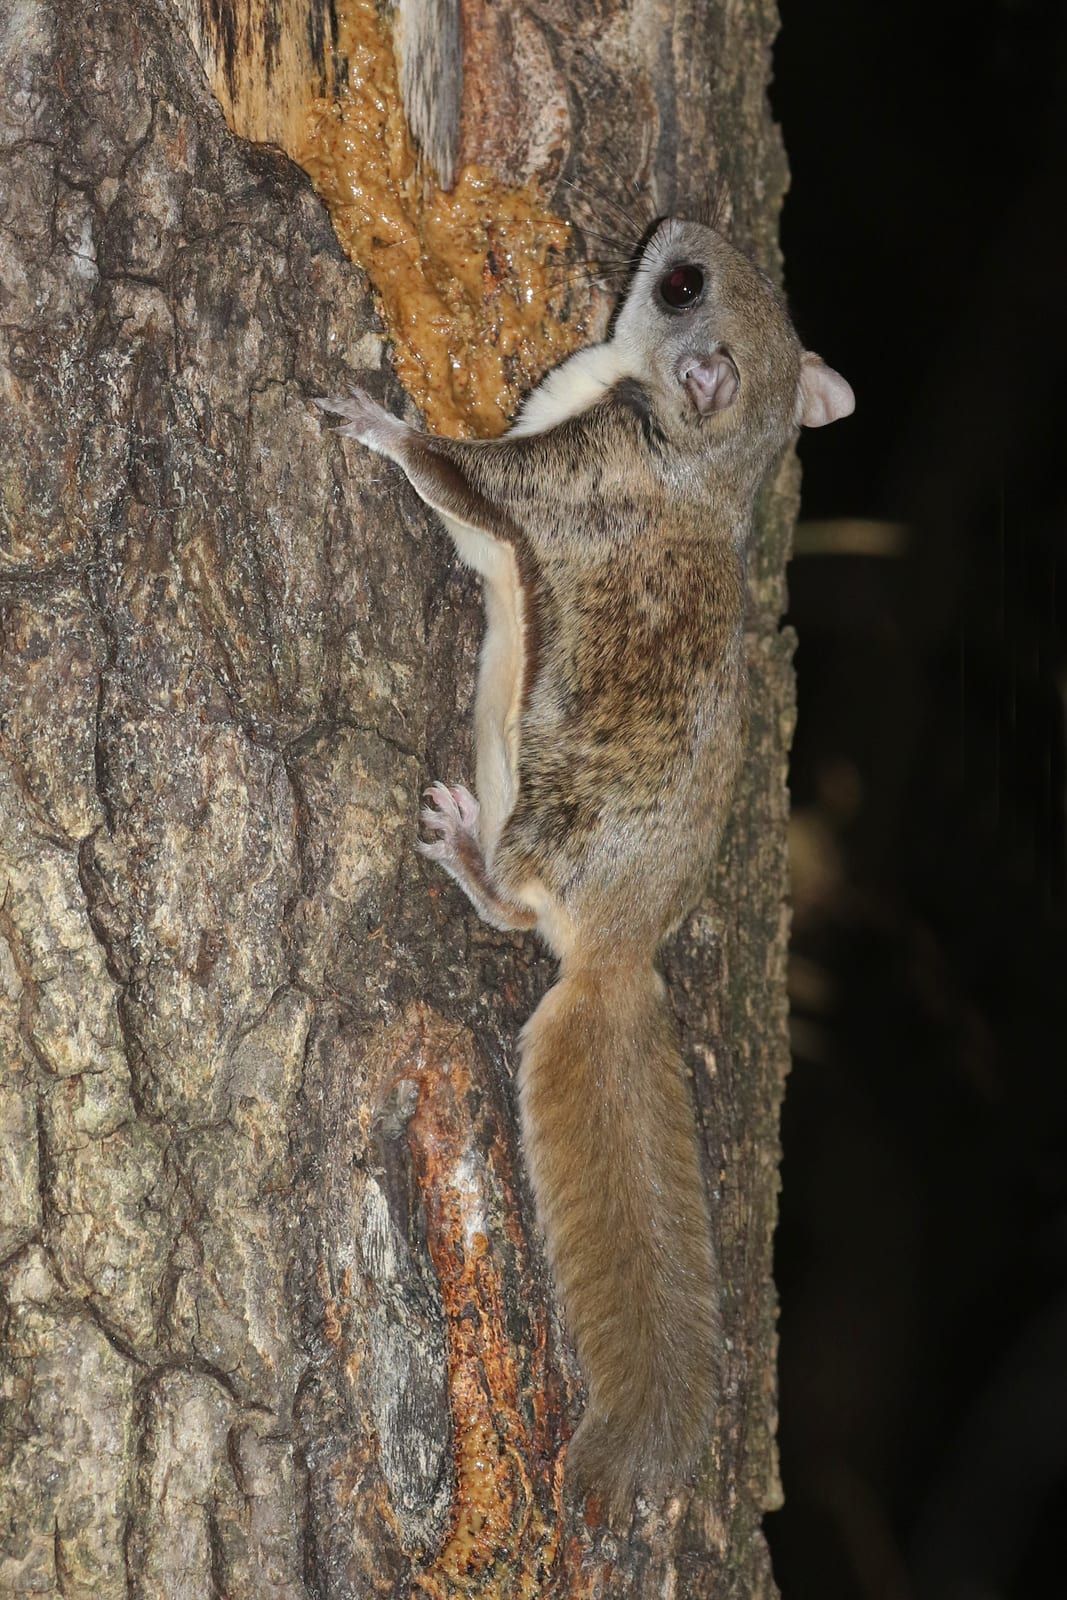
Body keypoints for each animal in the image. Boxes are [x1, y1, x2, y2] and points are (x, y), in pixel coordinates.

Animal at [316, 216, 853, 1517]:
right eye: (713, 276)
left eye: (680, 287)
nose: (675, 226)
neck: (694, 461)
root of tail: (616, 949)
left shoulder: (561, 489)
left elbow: (457, 485)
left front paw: (377, 423)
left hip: (543, 817)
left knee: (514, 908)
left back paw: (465, 851)